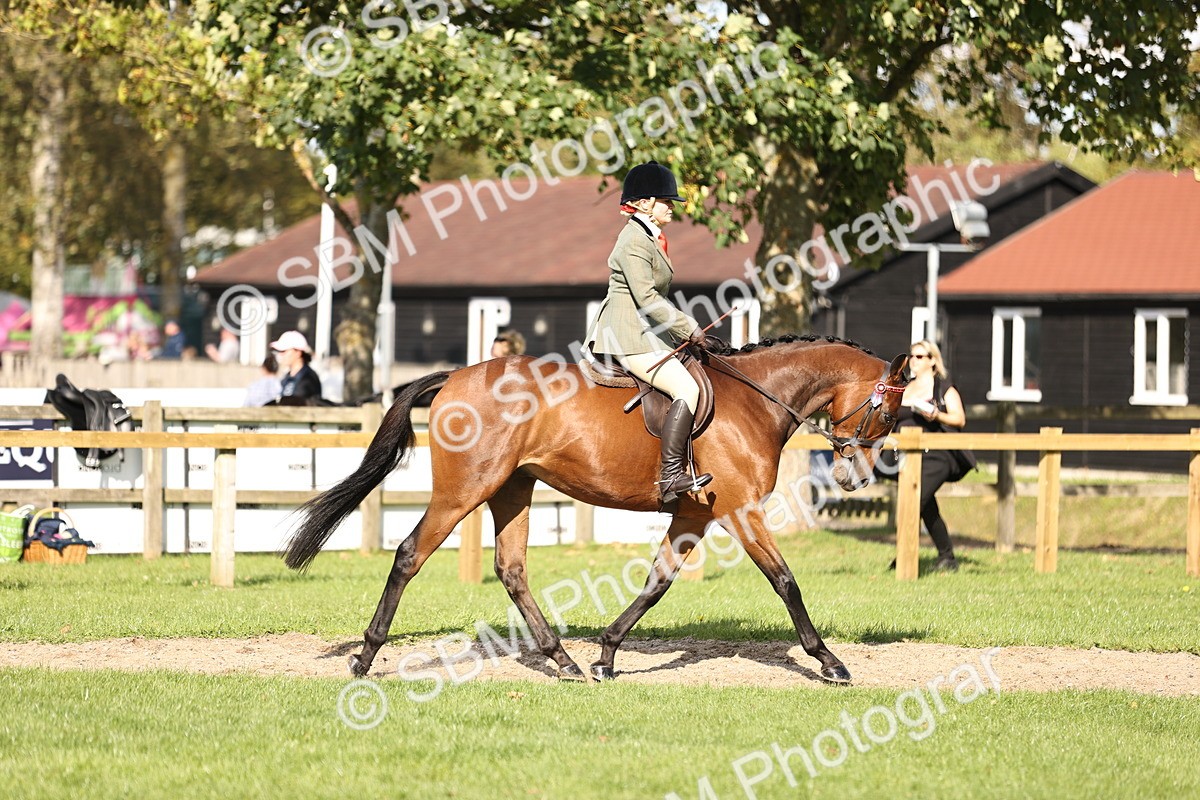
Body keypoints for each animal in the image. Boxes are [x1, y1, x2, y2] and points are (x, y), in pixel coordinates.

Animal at [283, 335, 909, 684]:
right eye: (887, 414)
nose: (857, 477)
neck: (755, 399)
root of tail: (456, 375)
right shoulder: (740, 511)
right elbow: (786, 581)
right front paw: (829, 661)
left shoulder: (695, 515)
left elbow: (657, 582)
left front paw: (607, 655)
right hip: (465, 491)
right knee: (410, 554)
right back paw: (365, 657)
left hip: (512, 489)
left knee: (512, 569)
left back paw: (563, 661)